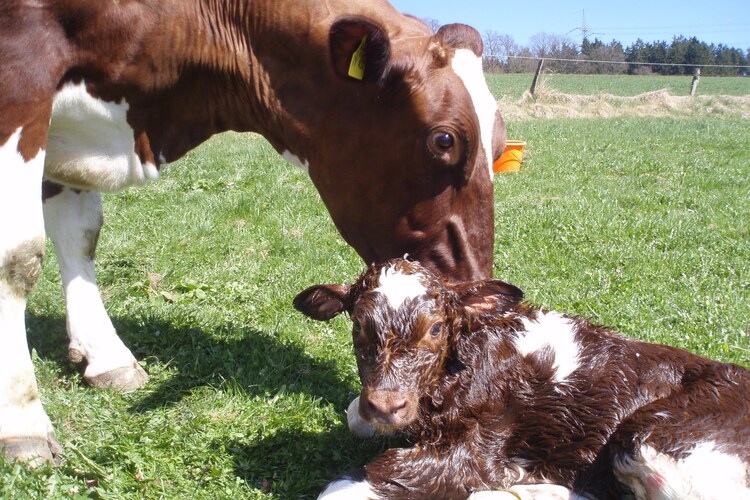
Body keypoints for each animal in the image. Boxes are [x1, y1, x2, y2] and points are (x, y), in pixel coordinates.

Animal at [0, 0, 508, 464]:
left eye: (501, 144)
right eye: (444, 140)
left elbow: (80, 234)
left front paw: (105, 354)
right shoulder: (23, 75)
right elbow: (18, 254)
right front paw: (21, 423)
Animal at [294, 260, 750, 498]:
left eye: (436, 328)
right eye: (358, 326)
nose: (387, 405)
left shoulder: (484, 442)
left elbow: (352, 484)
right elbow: (354, 414)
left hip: (663, 439)